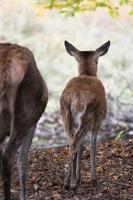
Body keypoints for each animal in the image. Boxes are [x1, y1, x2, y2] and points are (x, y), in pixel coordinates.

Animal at [60, 40, 110, 189]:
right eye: (97, 59)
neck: (86, 74)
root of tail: (75, 98)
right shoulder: (98, 122)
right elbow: (93, 147)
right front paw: (93, 179)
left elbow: (81, 148)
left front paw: (79, 177)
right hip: (88, 117)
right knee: (75, 142)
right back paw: (72, 183)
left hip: (65, 116)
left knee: (71, 143)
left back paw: (67, 182)